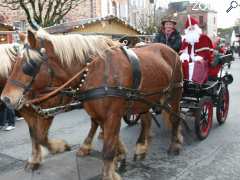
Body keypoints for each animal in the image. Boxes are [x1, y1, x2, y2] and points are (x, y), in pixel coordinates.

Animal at [0, 28, 183, 180]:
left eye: (28, 65)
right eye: (14, 62)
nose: (6, 99)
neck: (92, 71)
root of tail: (170, 51)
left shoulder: (110, 115)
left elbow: (107, 150)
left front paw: (109, 173)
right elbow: (37, 136)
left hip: (174, 93)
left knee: (175, 118)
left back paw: (174, 144)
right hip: (143, 101)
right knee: (146, 120)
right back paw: (141, 147)